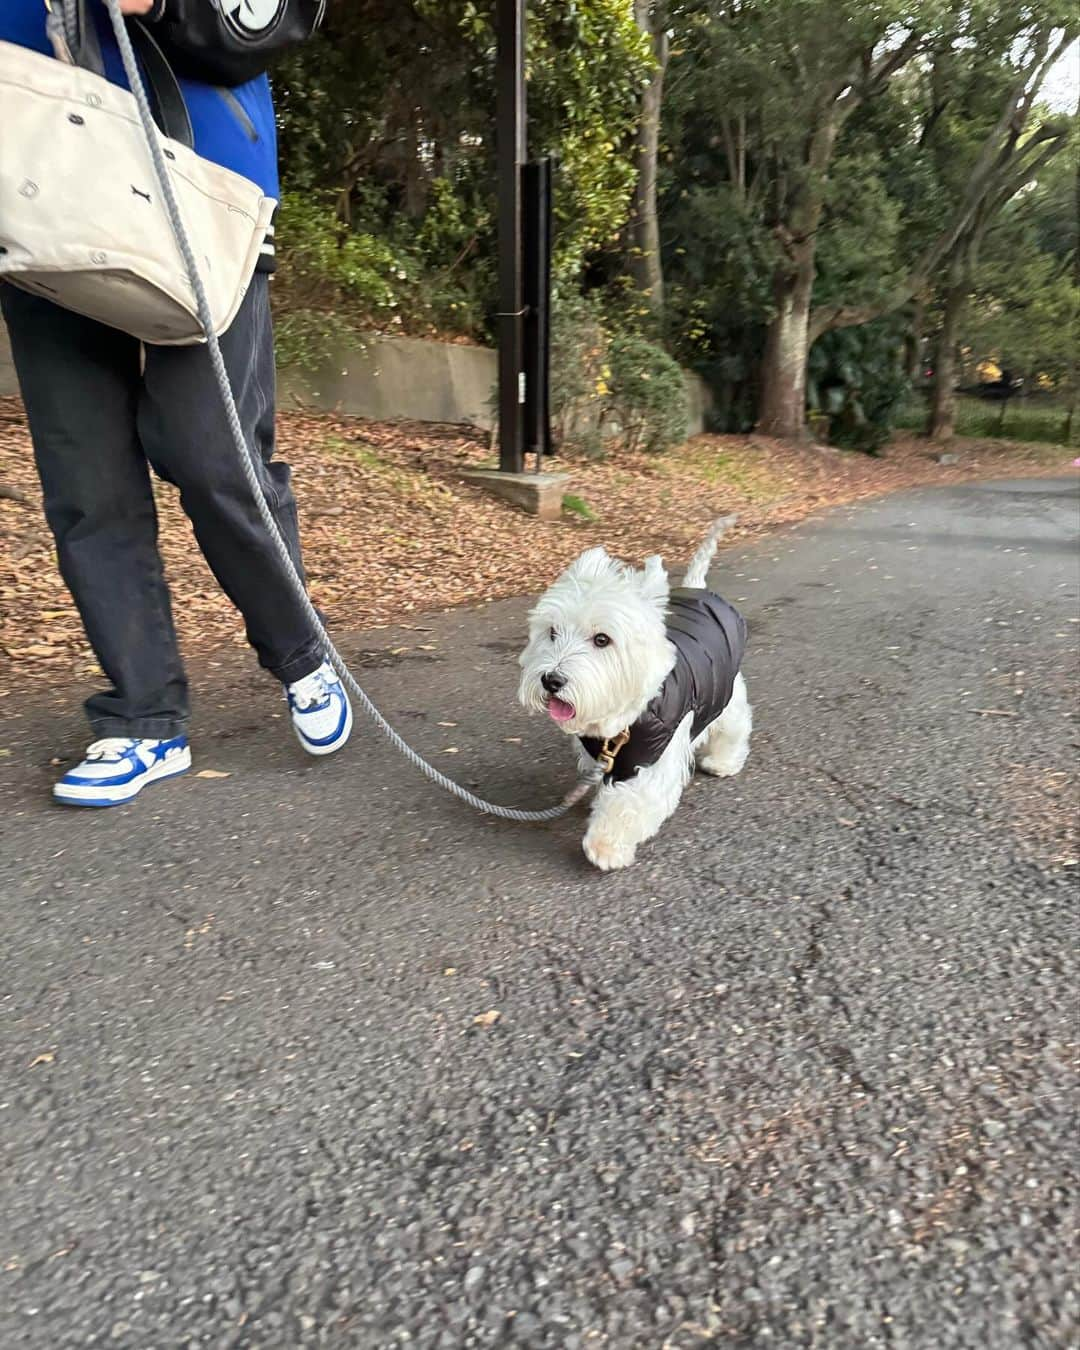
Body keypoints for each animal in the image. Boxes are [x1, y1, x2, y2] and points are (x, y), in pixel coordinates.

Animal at [515, 515, 750, 874]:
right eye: (552, 632)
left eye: (602, 639)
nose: (551, 680)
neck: (620, 721)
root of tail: (698, 588)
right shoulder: (602, 755)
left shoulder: (654, 761)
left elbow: (630, 802)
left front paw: (605, 847)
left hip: (726, 688)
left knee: (735, 723)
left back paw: (723, 761)